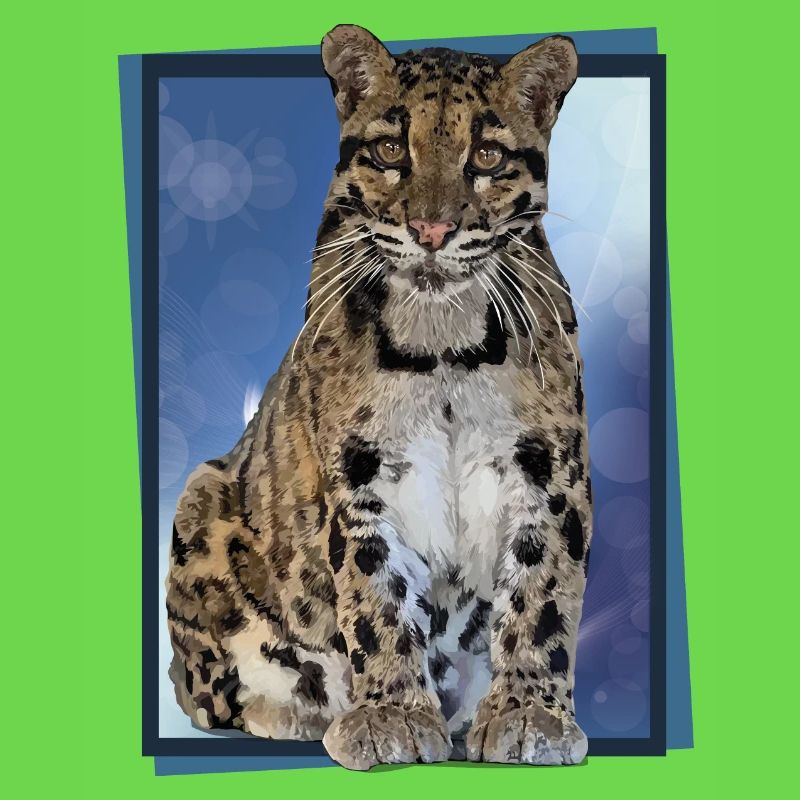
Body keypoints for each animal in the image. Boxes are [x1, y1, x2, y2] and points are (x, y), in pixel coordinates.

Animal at [166, 24, 592, 770]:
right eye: (393, 149)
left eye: (486, 155)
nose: (432, 231)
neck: (444, 343)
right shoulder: (358, 476)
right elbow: (375, 596)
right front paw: (391, 715)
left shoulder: (549, 473)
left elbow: (542, 595)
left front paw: (529, 714)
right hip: (200, 496)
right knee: (207, 692)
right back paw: (300, 711)